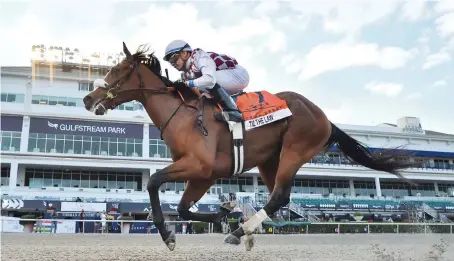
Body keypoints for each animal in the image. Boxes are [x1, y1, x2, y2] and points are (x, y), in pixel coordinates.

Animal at [82, 42, 414, 250]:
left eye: (117, 70)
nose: (88, 98)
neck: (183, 115)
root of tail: (324, 117)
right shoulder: (205, 174)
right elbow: (184, 207)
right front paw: (221, 216)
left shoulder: (198, 165)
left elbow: (153, 183)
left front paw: (168, 235)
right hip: (270, 160)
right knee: (280, 198)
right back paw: (245, 231)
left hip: (295, 150)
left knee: (279, 196)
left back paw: (241, 231)